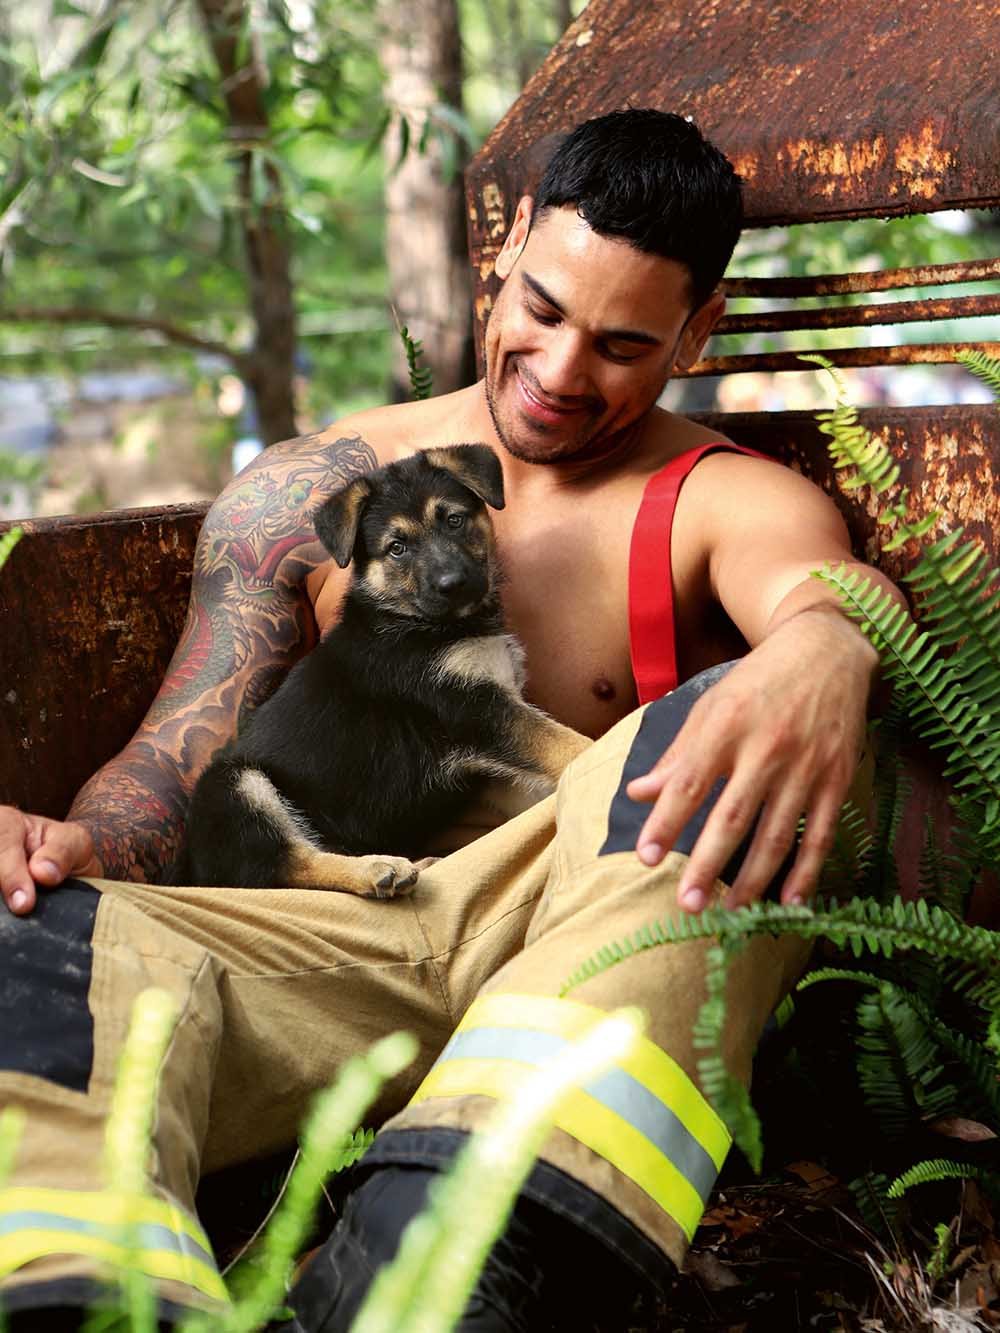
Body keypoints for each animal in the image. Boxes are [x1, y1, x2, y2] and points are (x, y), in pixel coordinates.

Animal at [168, 445, 592, 895]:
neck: (421, 623)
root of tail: (192, 873)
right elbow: (564, 743)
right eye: (397, 547)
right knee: (283, 867)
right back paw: (377, 869)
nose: (453, 583)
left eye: (454, 520)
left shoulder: (485, 751)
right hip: (235, 787)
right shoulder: (472, 708)